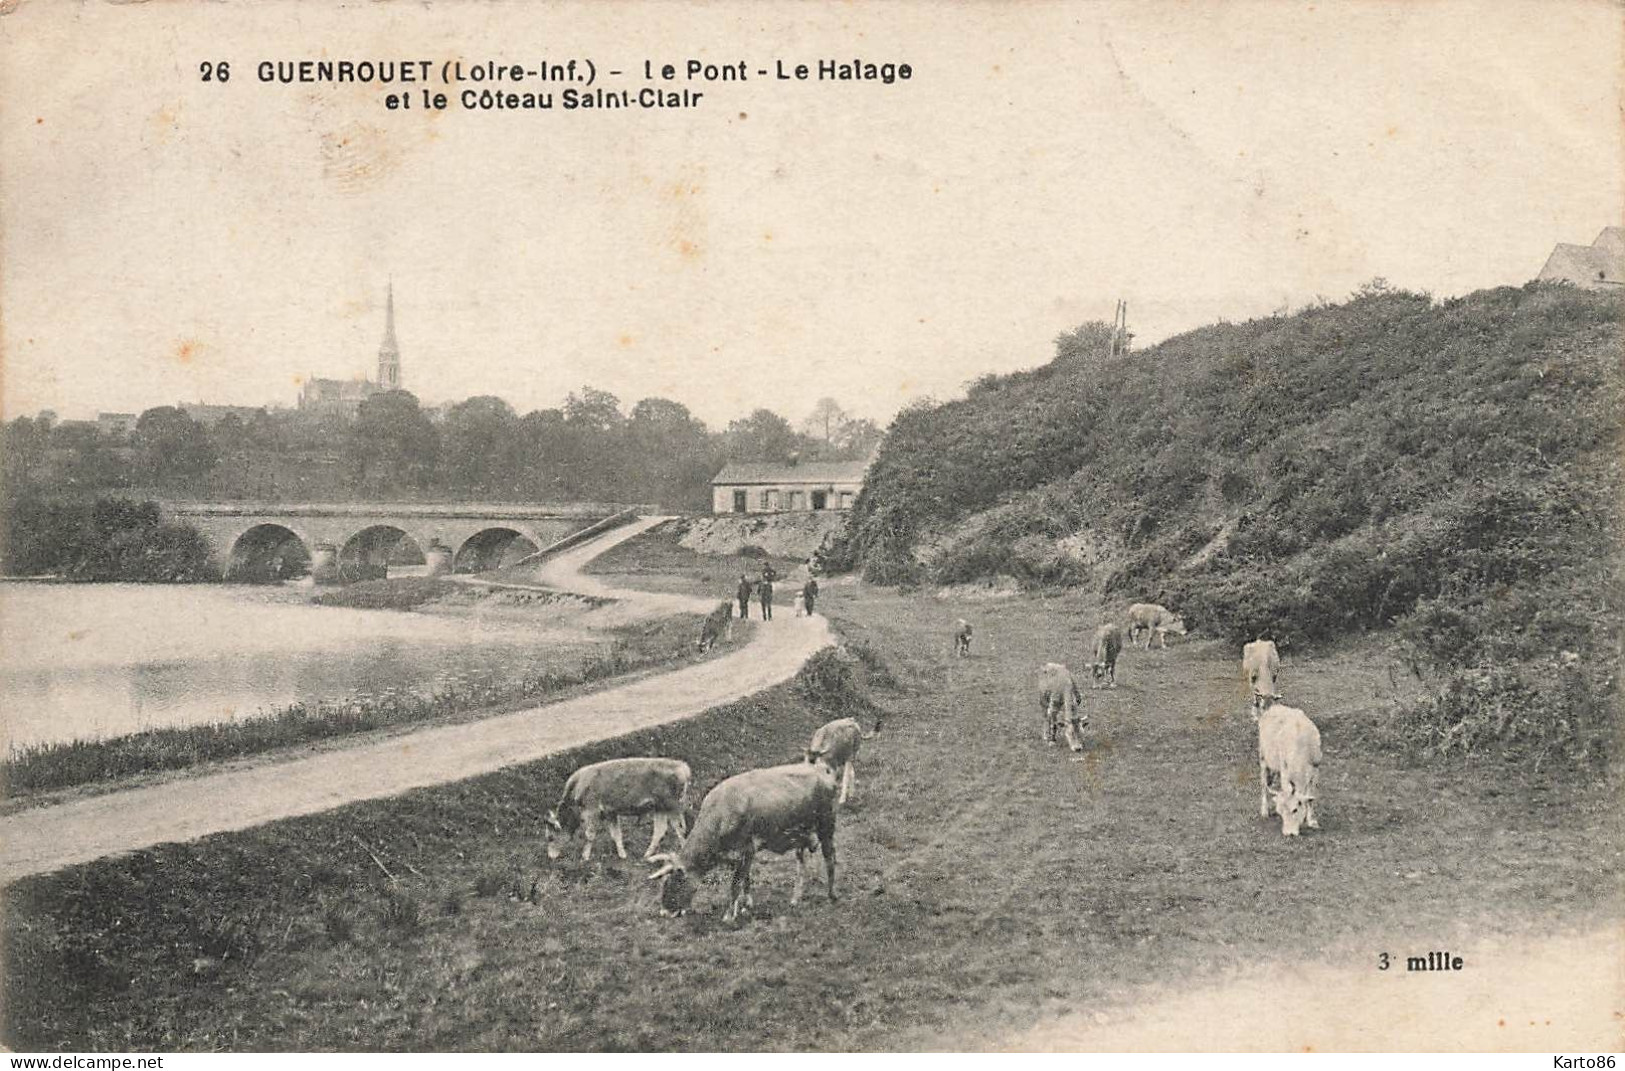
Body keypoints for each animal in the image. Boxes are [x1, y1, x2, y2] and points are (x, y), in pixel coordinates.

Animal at [546, 754, 692, 864]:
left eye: (550, 837)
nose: (550, 857)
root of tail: (682, 766)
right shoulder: (611, 813)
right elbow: (616, 834)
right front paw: (622, 855)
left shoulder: (592, 811)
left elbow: (590, 835)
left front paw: (585, 857)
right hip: (660, 808)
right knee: (660, 830)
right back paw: (646, 855)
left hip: (672, 807)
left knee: (680, 828)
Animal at [646, 763, 838, 923]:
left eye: (674, 882)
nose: (664, 913)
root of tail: (821, 768)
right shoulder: (742, 855)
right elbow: (746, 880)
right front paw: (747, 906)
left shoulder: (746, 849)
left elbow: (735, 884)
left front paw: (729, 915)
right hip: (801, 834)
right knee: (801, 862)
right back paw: (795, 898)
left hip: (826, 825)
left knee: (830, 858)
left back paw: (831, 895)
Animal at [1254, 705, 1319, 838]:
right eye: (1280, 813)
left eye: (1295, 809)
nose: (1289, 834)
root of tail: (1275, 707)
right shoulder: (1285, 770)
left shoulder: (1316, 770)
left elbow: (1310, 798)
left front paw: (1311, 821)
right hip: (1263, 757)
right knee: (1263, 785)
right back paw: (1265, 811)